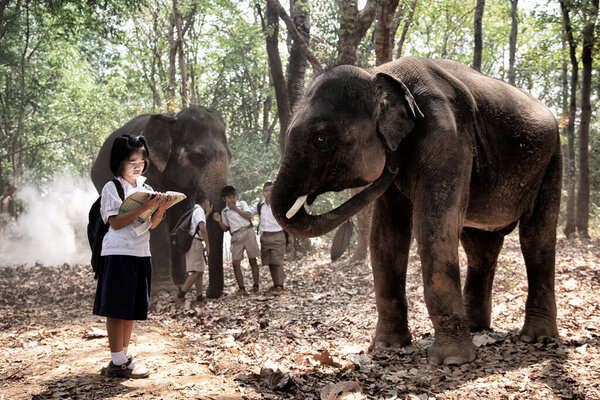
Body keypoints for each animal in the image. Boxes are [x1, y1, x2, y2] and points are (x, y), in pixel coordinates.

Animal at [92, 104, 232, 298]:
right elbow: (157, 224)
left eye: (231, 156)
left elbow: (180, 217)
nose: (210, 293)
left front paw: (180, 284)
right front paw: (165, 291)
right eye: (197, 157)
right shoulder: (149, 170)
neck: (172, 119)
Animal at [272, 57, 564, 366]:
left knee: (536, 239)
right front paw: (387, 347)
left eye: (320, 138)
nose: (391, 168)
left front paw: (451, 360)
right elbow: (387, 238)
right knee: (480, 248)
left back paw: (537, 338)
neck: (381, 73)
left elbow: (434, 227)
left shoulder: (448, 137)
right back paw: (477, 328)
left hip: (552, 160)